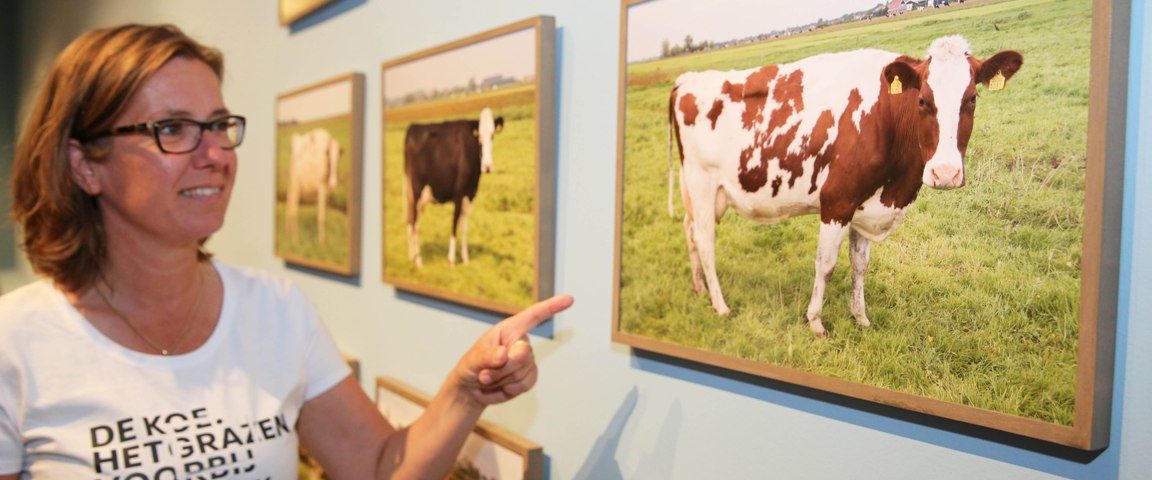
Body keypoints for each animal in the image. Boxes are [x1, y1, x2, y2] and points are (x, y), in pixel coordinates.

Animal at [405, 106, 504, 267]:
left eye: (492, 135)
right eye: (479, 137)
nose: (487, 167)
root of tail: (413, 127)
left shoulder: (469, 194)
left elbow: (464, 227)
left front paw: (465, 259)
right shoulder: (458, 192)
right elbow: (454, 223)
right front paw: (451, 260)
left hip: (412, 194)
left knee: (411, 220)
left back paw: (412, 256)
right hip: (417, 189)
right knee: (414, 220)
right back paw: (418, 260)